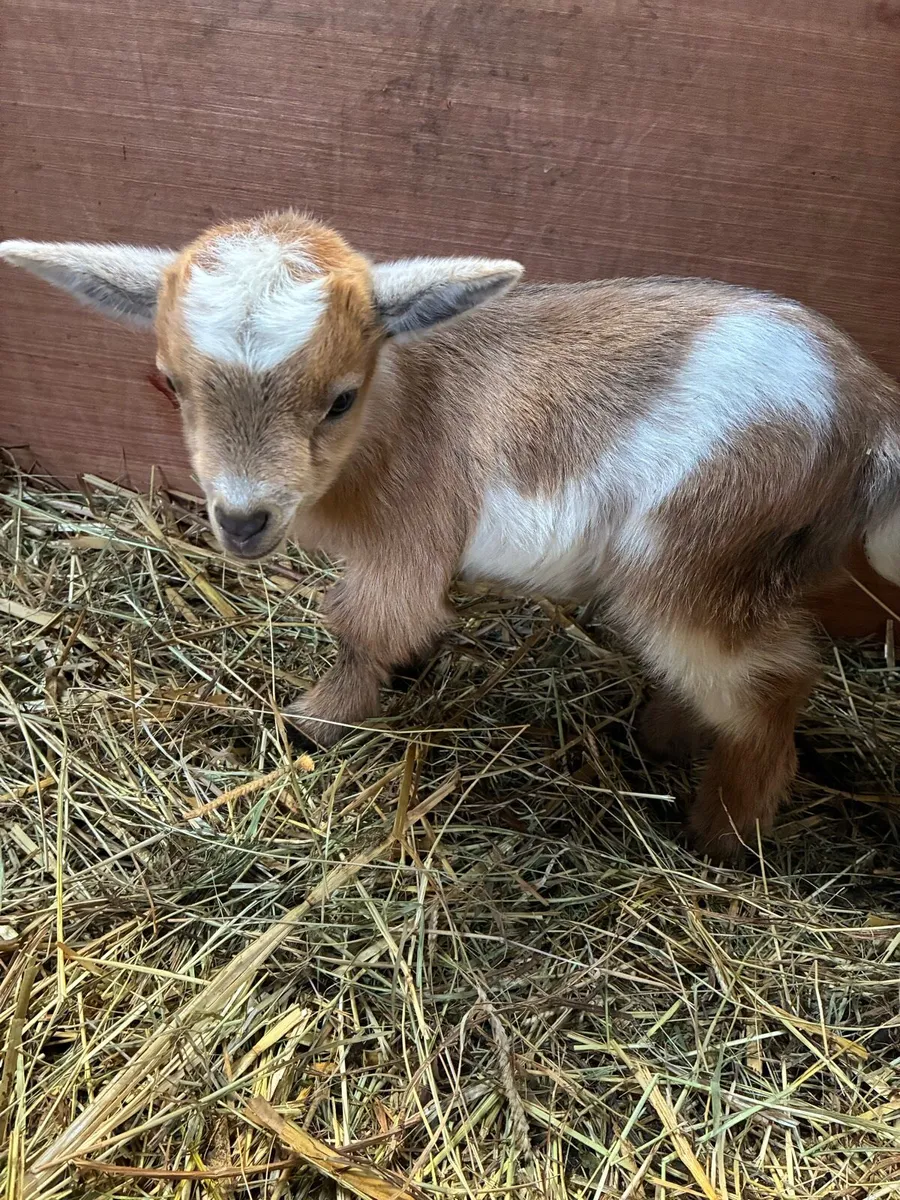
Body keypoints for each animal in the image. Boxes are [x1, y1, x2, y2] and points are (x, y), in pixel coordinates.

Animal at [3, 212, 899, 861]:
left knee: (774, 680)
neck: (398, 411)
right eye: (172, 383)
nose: (244, 519)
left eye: (341, 398)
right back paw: (662, 742)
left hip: (696, 556)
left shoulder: (410, 538)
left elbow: (368, 627)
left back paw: (721, 835)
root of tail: (869, 411)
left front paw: (313, 723)